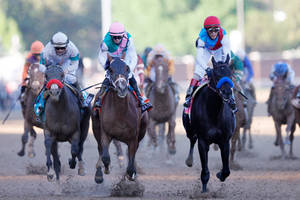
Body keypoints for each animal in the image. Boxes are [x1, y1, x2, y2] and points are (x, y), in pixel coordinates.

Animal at [184, 55, 236, 193]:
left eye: (230, 74)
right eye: (216, 74)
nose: (227, 92)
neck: (214, 111)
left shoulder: (225, 141)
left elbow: (227, 170)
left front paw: (220, 174)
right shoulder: (203, 141)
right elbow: (205, 171)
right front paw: (203, 191)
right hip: (189, 129)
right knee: (192, 140)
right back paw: (189, 160)